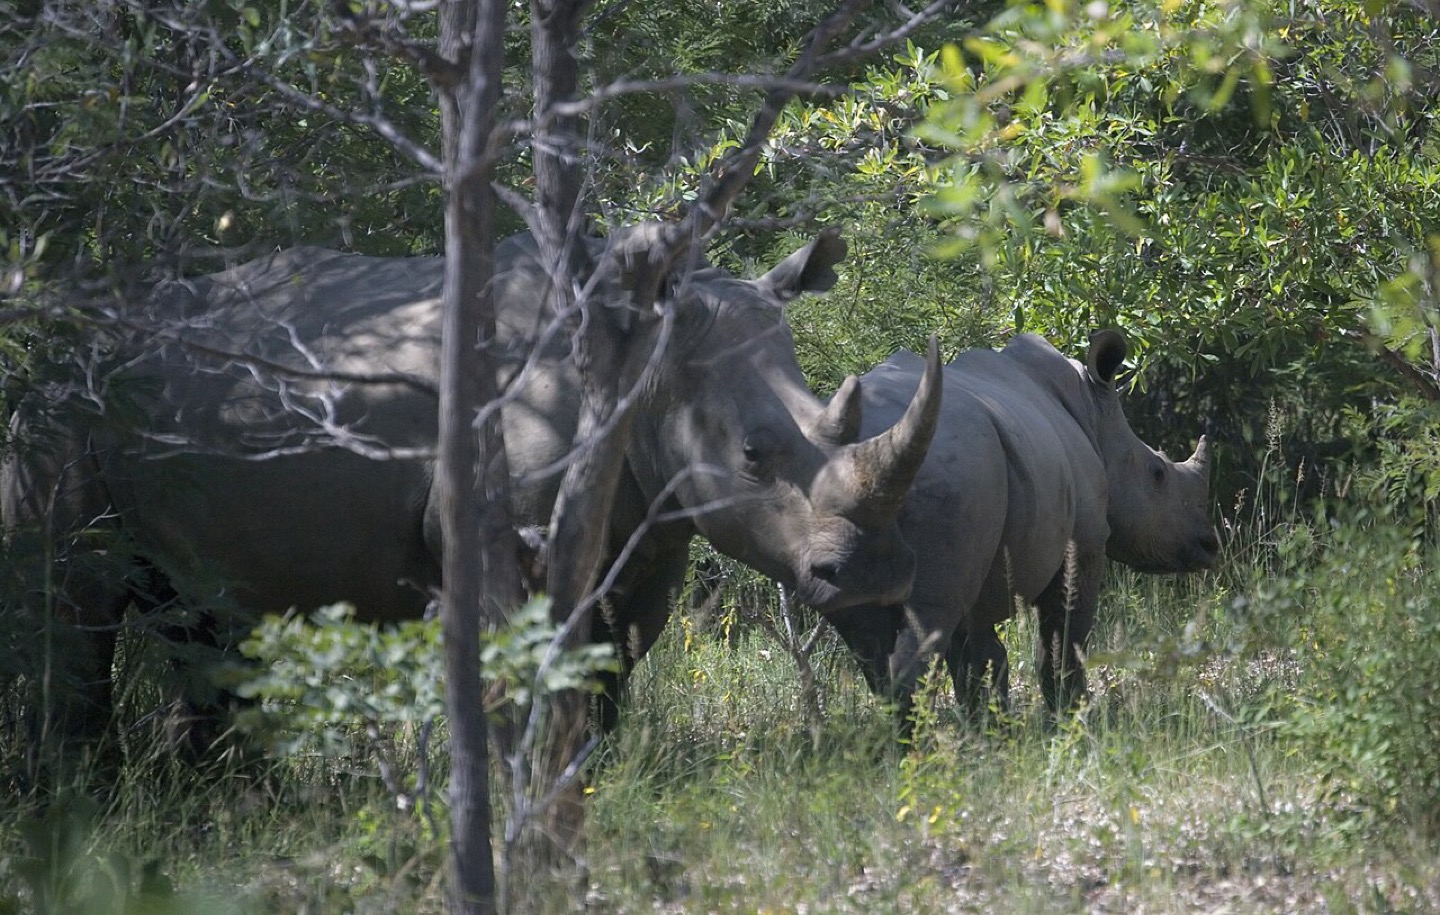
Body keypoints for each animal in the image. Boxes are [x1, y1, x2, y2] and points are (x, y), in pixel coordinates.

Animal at [1, 225, 943, 749]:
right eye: (753, 453)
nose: (877, 576)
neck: (644, 370)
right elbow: (532, 673)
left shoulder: (654, 531)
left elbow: (608, 673)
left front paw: (589, 782)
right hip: (63, 404)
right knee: (73, 604)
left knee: (203, 617)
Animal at [823, 330, 1219, 724]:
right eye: (1158, 473)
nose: (1210, 545)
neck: (1094, 411)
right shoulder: (1085, 541)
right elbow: (1063, 637)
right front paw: (1072, 716)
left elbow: (981, 656)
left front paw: (990, 727)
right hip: (943, 477)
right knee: (925, 624)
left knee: (867, 637)